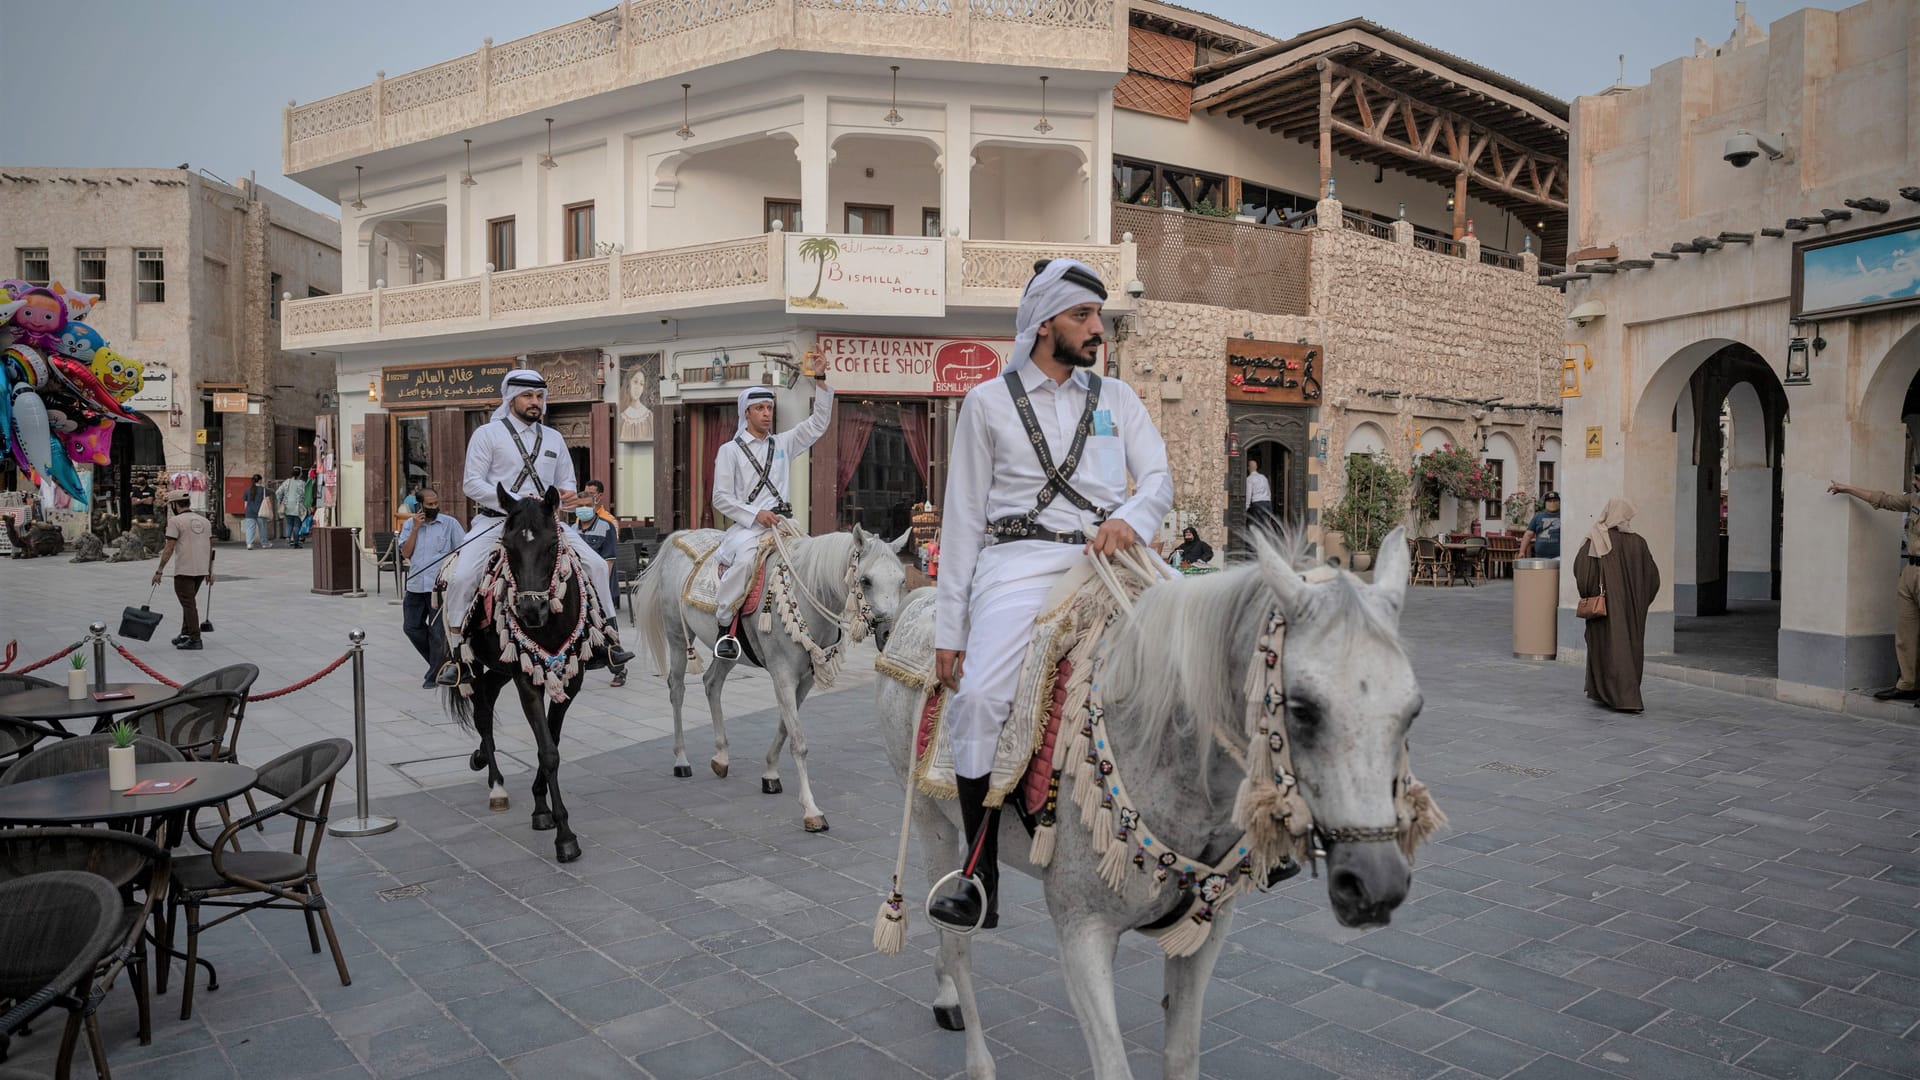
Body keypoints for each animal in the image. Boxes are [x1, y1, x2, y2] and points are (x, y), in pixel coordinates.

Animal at [447, 484, 587, 860]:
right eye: (508, 546)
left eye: (551, 544)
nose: (529, 610)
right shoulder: (527, 680)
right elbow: (548, 751)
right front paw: (565, 835)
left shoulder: (571, 679)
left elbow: (550, 741)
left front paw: (542, 808)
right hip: (474, 660)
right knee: (481, 711)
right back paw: (495, 784)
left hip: (501, 666)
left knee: (487, 695)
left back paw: (481, 757)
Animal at [879, 530, 1436, 1076]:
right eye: (1302, 708)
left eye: (1414, 710)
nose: (1377, 884)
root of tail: (921, 601)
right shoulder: (1083, 932)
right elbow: (1113, 1065)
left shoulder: (1207, 929)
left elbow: (1182, 1054)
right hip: (930, 820)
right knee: (957, 939)